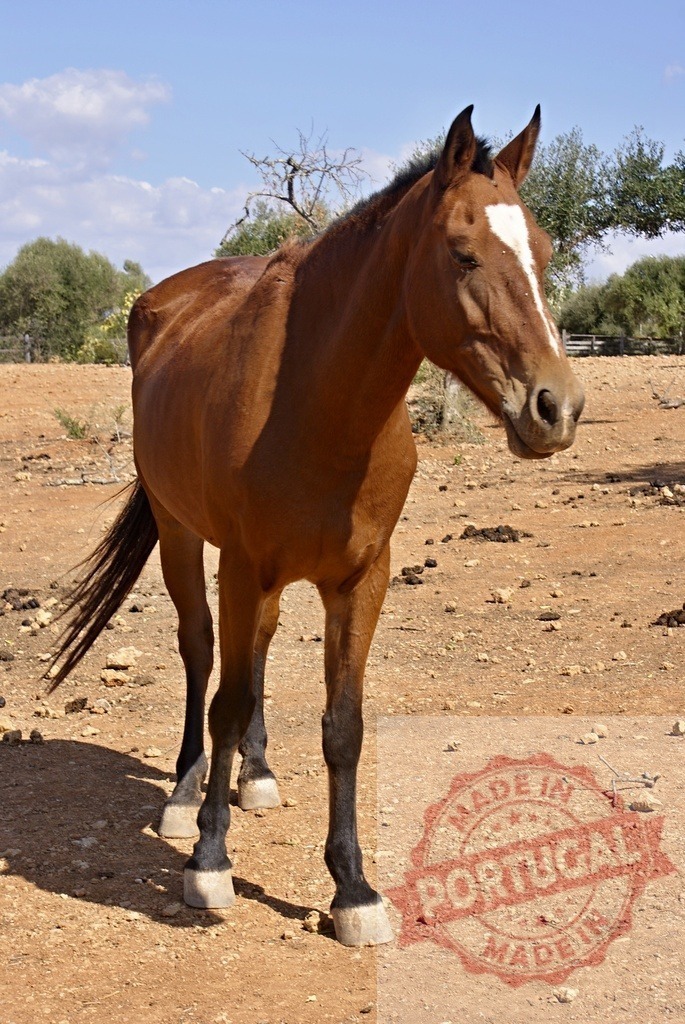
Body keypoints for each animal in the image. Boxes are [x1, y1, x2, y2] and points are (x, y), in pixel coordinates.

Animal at [50, 105, 584, 946]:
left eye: (544, 250)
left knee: (256, 653)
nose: (555, 407)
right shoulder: (242, 564)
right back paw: (185, 797)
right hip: (181, 534)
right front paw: (208, 863)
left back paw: (258, 777)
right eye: (462, 253)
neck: (316, 400)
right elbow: (227, 703)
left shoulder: (360, 577)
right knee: (203, 653)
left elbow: (343, 727)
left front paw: (352, 889)